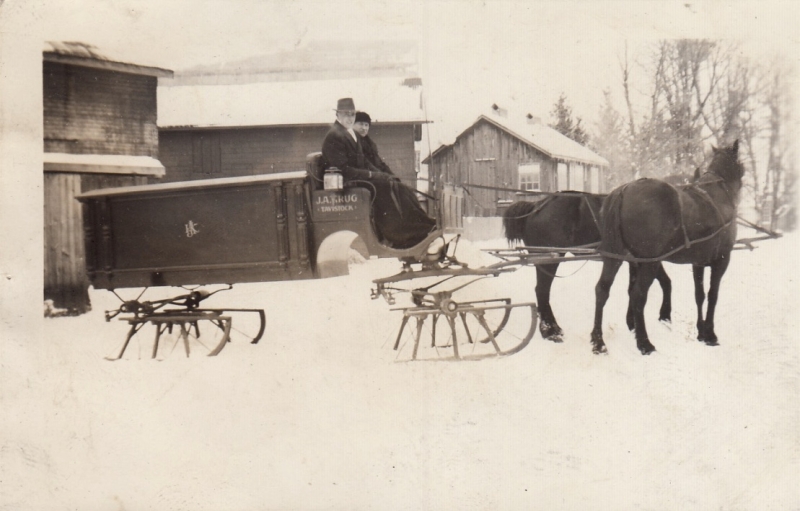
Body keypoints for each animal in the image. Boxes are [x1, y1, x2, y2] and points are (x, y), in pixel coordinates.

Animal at [503, 191, 672, 342]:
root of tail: (536, 206)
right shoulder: (649, 258)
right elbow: (663, 283)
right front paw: (664, 317)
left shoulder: (636, 260)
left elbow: (635, 289)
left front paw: (633, 324)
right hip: (549, 260)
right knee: (542, 291)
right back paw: (550, 331)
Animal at [591, 140, 744, 355]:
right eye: (741, 166)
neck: (718, 195)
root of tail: (624, 190)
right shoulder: (722, 260)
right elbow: (713, 295)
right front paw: (710, 334)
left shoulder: (698, 262)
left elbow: (699, 295)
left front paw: (701, 332)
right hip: (649, 262)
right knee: (638, 295)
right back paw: (644, 342)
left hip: (615, 257)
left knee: (602, 290)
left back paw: (598, 341)